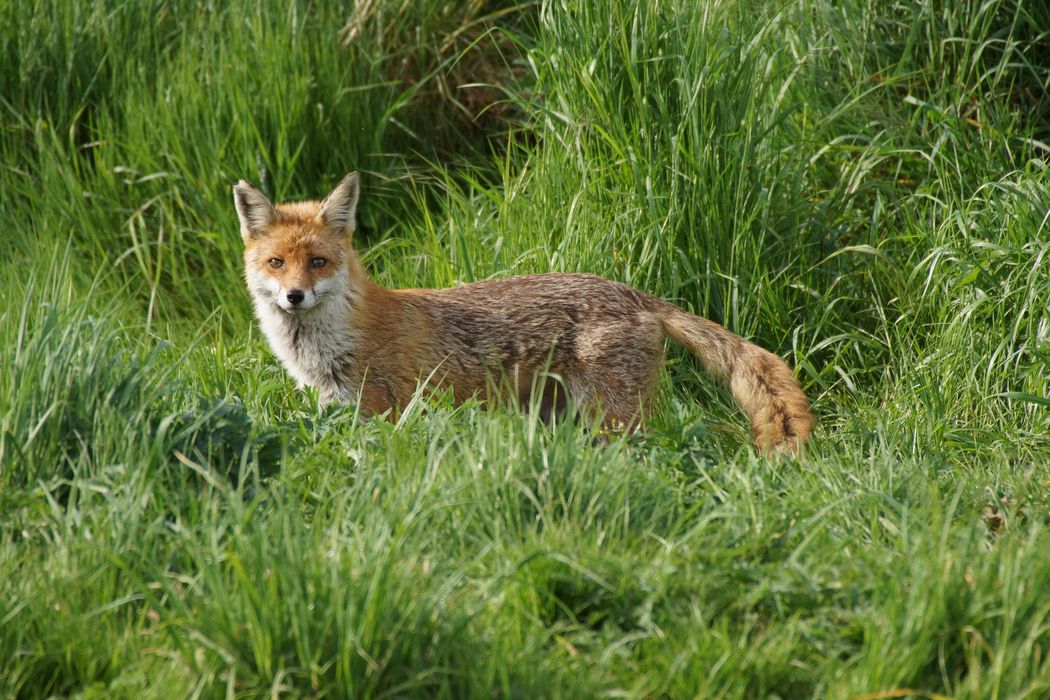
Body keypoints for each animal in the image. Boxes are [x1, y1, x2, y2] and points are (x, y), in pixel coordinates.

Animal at [234, 172, 813, 453]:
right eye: (277, 263)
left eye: (318, 262)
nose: (294, 296)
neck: (328, 348)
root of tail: (630, 291)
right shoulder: (337, 409)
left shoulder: (380, 413)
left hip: (614, 418)